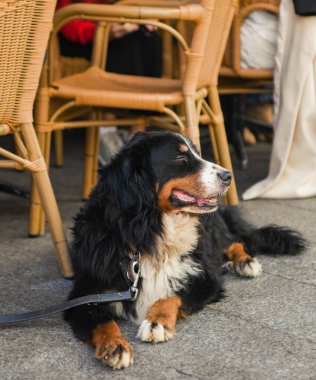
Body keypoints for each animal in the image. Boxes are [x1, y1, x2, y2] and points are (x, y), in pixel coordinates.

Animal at [65, 131, 306, 368]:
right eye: (180, 157)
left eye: (197, 154)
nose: (228, 175)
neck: (149, 233)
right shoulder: (86, 295)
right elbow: (103, 323)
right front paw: (114, 345)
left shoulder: (205, 279)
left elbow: (171, 296)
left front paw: (157, 323)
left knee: (233, 240)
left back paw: (246, 262)